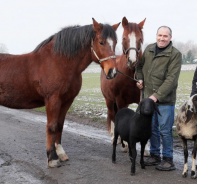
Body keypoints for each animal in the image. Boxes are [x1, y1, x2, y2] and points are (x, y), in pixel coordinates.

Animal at [0, 18, 120, 168]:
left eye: (115, 43)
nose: (112, 72)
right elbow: (51, 127)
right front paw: (52, 158)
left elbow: (60, 125)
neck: (58, 62)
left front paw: (60, 153)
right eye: (101, 42)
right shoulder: (53, 100)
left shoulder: (67, 100)